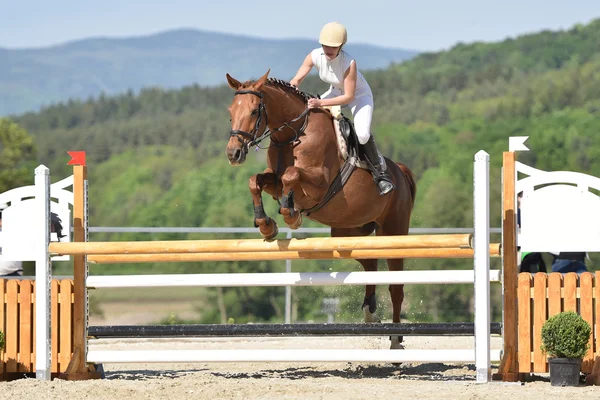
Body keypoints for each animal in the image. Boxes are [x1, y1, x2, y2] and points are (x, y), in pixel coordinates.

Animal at [225, 69, 418, 350]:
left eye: (253, 111)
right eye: (231, 111)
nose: (233, 153)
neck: (293, 134)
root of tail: (401, 173)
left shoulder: (320, 182)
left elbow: (292, 175)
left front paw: (292, 215)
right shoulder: (273, 180)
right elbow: (256, 181)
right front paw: (266, 225)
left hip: (393, 231)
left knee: (396, 286)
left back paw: (395, 340)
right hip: (347, 233)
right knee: (370, 261)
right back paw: (370, 313)